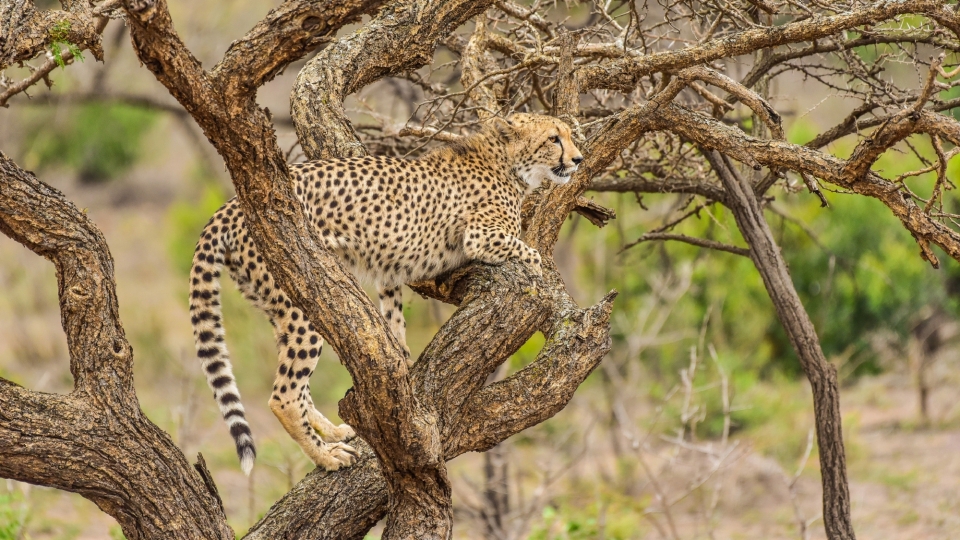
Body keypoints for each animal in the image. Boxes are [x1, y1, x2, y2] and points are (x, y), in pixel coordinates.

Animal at [186, 113, 576, 472]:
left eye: (570, 135)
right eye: (554, 138)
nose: (578, 159)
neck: (506, 161)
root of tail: (230, 204)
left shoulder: (391, 267)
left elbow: (393, 315)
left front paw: (402, 360)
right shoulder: (479, 236)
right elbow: (530, 253)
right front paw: (537, 267)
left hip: (276, 302)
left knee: (296, 383)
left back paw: (332, 433)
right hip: (301, 294)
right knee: (284, 396)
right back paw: (328, 457)